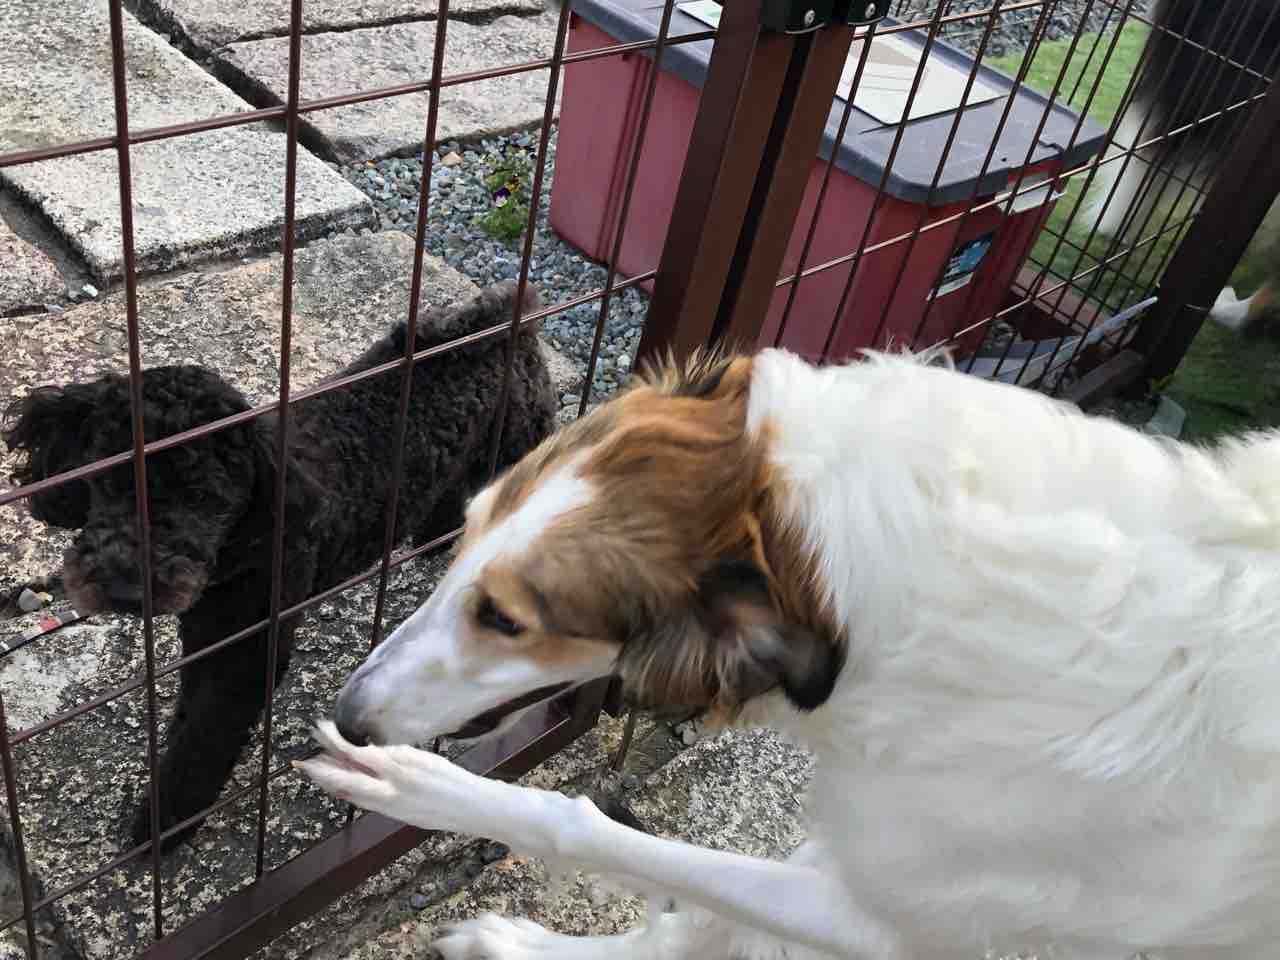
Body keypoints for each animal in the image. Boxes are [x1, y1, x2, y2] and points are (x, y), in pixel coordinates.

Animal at [2, 281, 558, 852]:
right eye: (108, 481)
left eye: (204, 498)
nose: (123, 587)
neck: (242, 549)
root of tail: (501, 318)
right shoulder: (208, 635)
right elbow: (191, 710)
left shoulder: (248, 654)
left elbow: (206, 736)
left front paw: (166, 821)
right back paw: (430, 539)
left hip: (525, 442)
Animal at [298, 345, 1280, 960]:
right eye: (460, 532)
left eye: (504, 619)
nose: (349, 712)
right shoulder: (862, 854)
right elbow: (695, 924)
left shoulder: (905, 914)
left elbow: (587, 826)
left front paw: (418, 787)